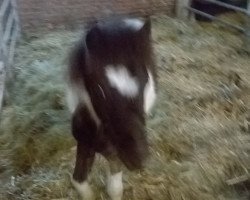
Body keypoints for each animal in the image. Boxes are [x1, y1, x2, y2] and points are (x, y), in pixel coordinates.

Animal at [66, 16, 156, 200]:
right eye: (99, 89)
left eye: (145, 80)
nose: (139, 159)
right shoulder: (83, 140)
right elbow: (79, 181)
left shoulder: (116, 153)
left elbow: (114, 189)